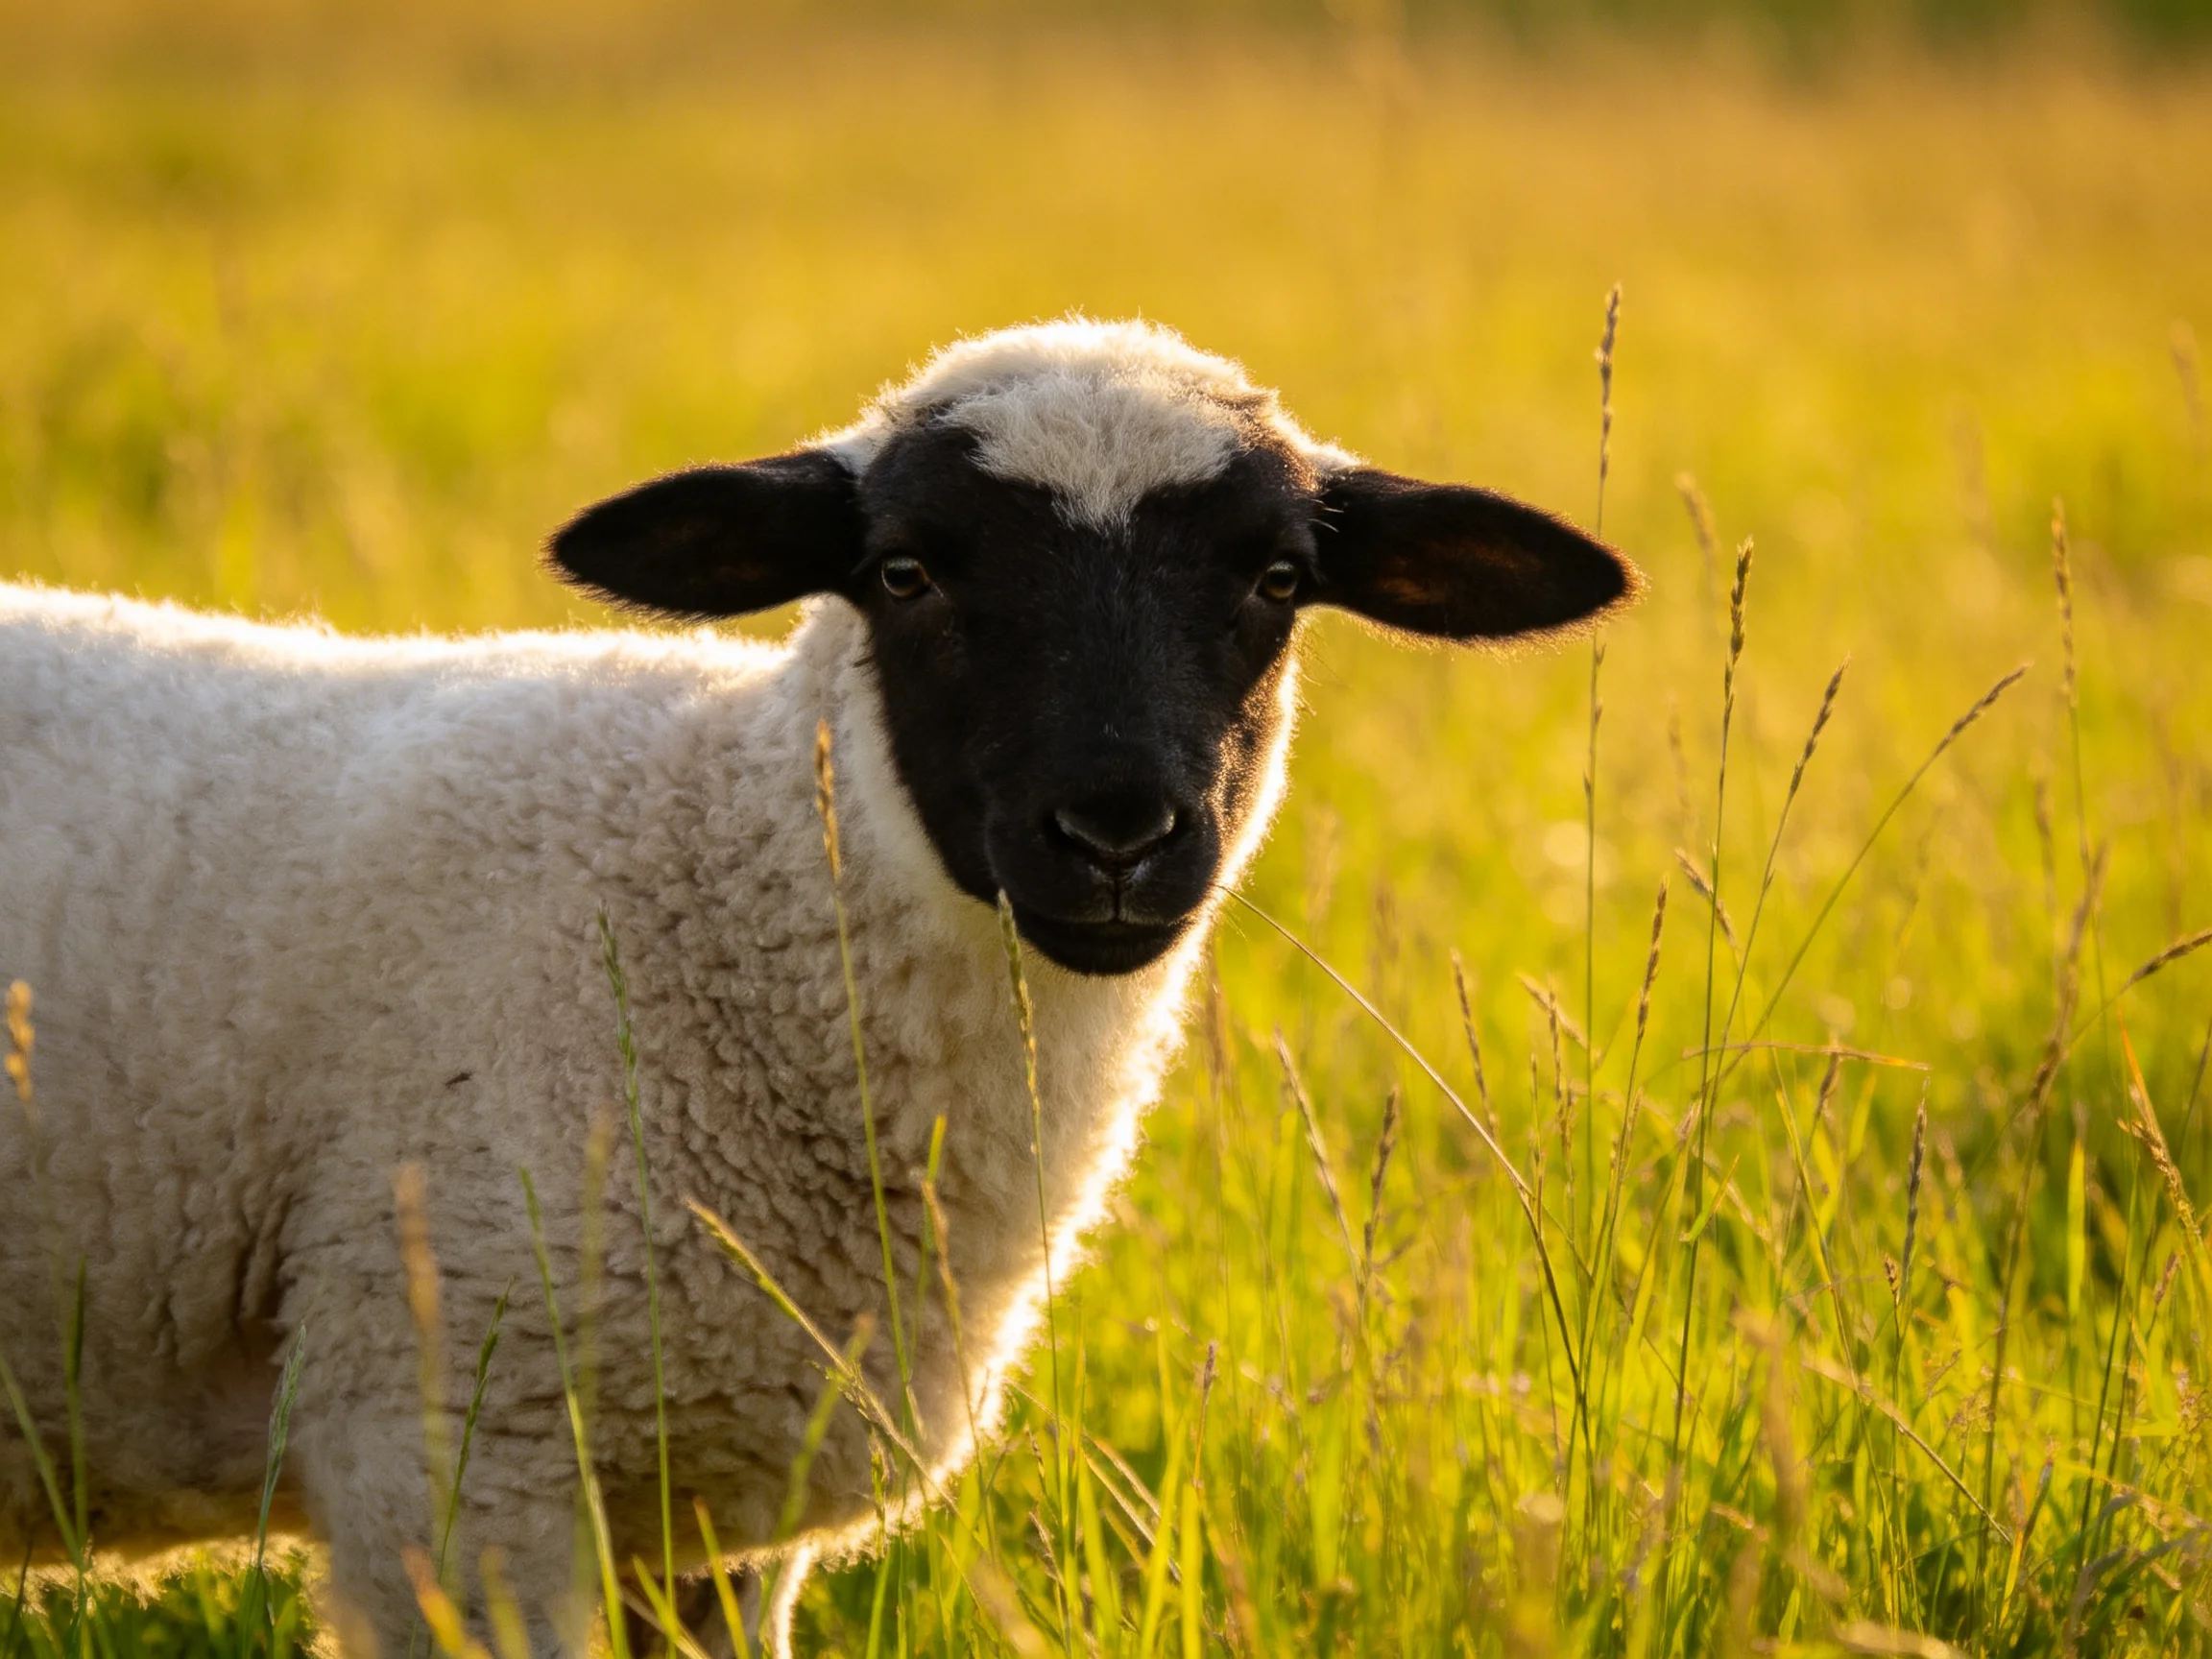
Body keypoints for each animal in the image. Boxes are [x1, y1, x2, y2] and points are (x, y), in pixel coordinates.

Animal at [0, 317, 1637, 1656]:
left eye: (1279, 579)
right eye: (904, 570)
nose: (1116, 834)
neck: (709, 881)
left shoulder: (719, 1507)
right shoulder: (447, 1440)